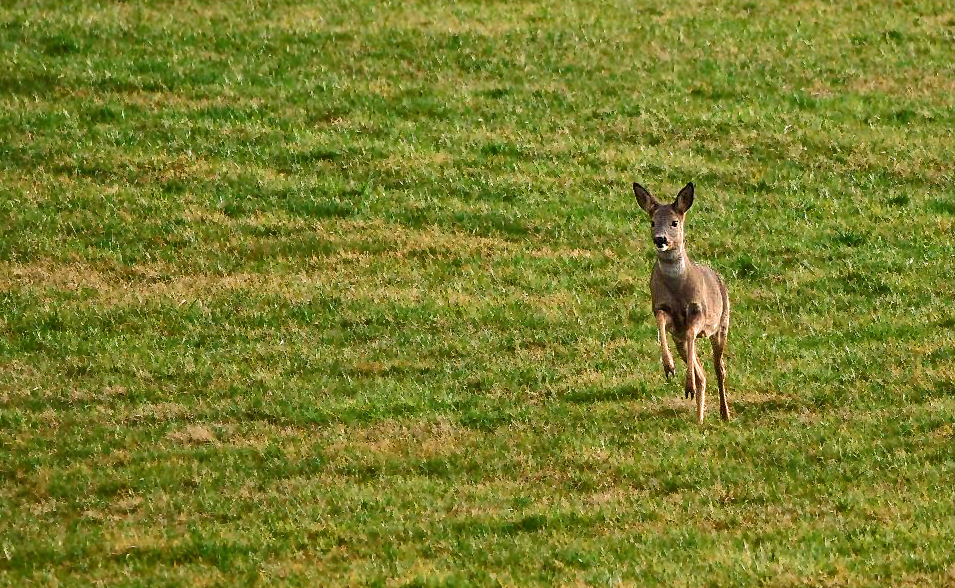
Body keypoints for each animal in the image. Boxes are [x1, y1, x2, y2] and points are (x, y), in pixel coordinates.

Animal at [636, 180, 732, 422]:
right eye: (652, 222)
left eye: (674, 222)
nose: (660, 239)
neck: (678, 287)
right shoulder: (662, 309)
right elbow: (661, 322)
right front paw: (669, 367)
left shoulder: (698, 312)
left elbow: (691, 331)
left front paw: (683, 381)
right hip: (681, 340)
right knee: (703, 374)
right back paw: (699, 418)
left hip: (723, 324)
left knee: (719, 368)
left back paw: (724, 413)